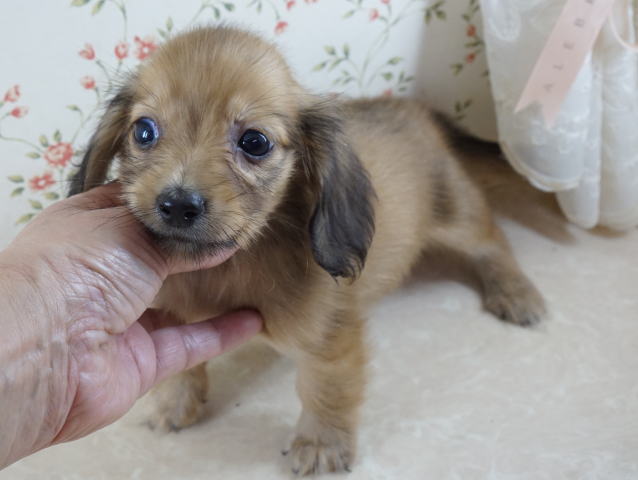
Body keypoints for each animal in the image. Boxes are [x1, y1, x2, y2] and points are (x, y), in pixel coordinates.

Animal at [70, 27, 548, 476]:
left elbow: (325, 389)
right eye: (143, 131)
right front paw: (175, 401)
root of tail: (417, 110)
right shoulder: (173, 313)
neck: (233, 267)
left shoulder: (331, 339)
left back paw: (516, 292)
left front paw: (321, 443)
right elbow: (180, 365)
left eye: (255, 142)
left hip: (456, 211)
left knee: (493, 242)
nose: (177, 204)